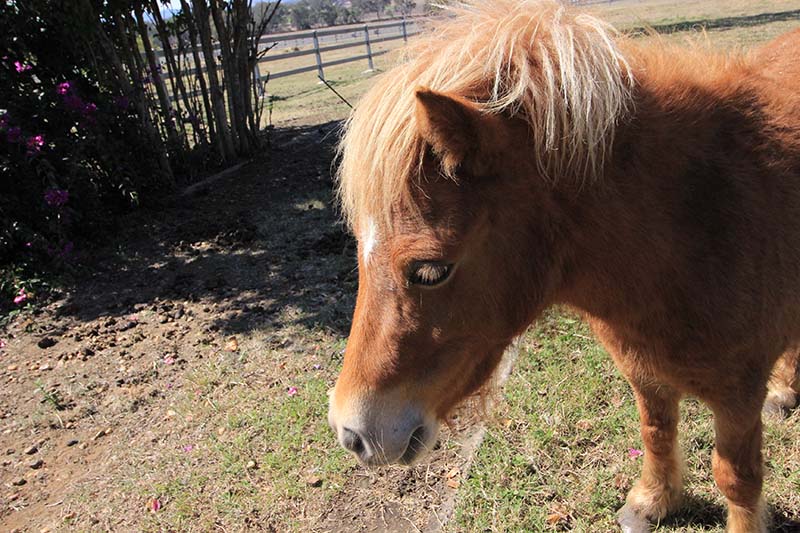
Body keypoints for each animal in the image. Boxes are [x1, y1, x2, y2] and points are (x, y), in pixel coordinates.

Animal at [327, 1, 800, 531]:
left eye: (431, 270)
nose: (352, 434)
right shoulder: (644, 372)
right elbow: (655, 430)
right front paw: (652, 501)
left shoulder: (739, 397)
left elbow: (737, 477)